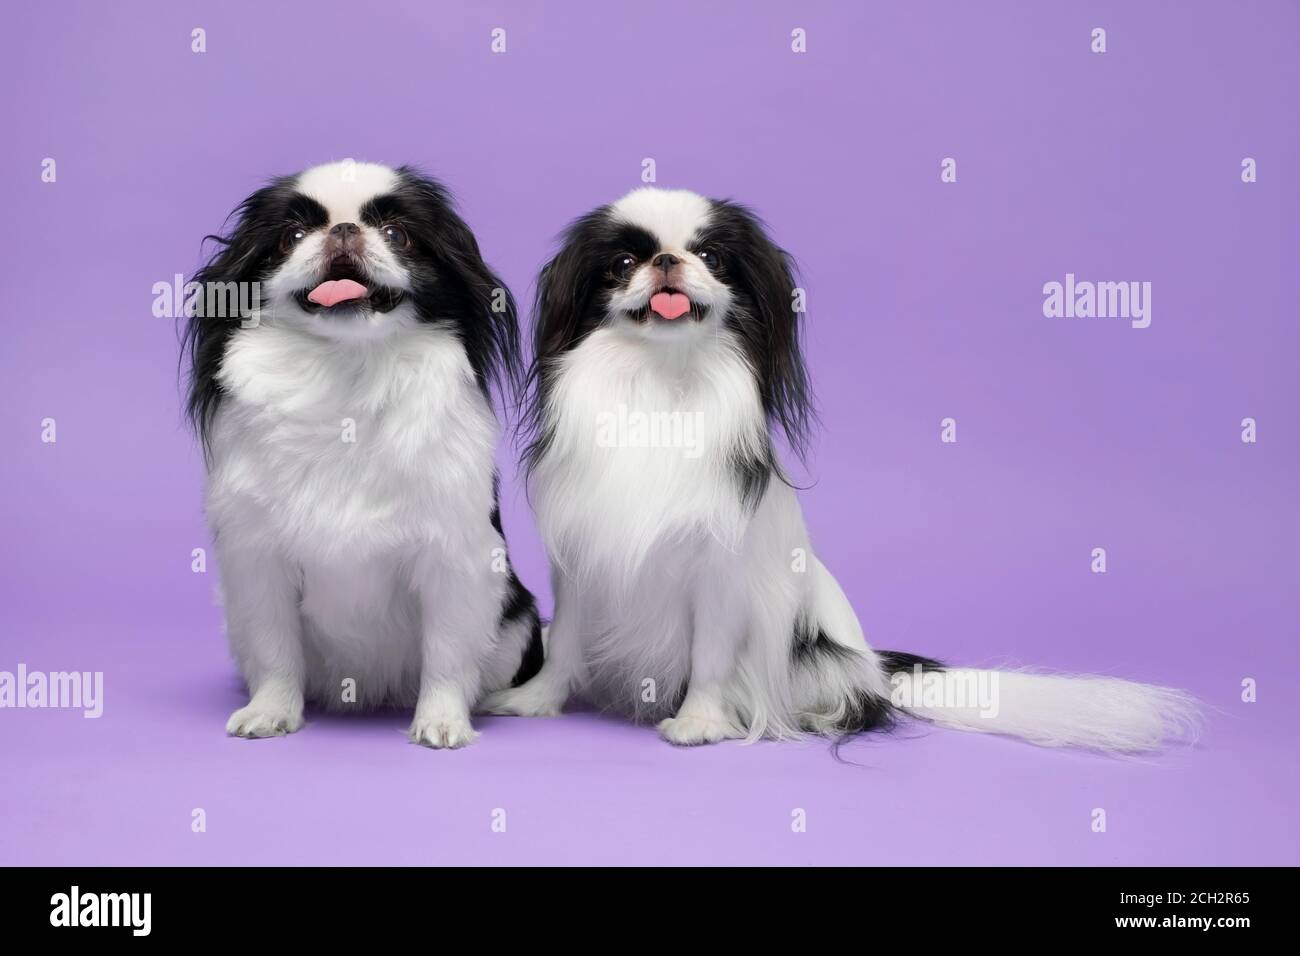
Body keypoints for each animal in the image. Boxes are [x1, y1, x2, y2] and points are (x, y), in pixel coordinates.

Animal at [185, 162, 540, 749]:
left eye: (398, 234)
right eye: (292, 236)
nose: (345, 229)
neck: (346, 371)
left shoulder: (454, 560)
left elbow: (447, 653)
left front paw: (442, 722)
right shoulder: (259, 562)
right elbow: (275, 649)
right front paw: (271, 712)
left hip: (519, 622)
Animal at [486, 187, 1196, 754]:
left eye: (711, 258)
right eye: (623, 264)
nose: (668, 261)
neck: (661, 383)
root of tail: (875, 665)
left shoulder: (718, 576)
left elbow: (710, 655)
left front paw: (700, 722)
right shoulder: (581, 564)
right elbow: (566, 640)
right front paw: (537, 701)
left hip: (821, 661)